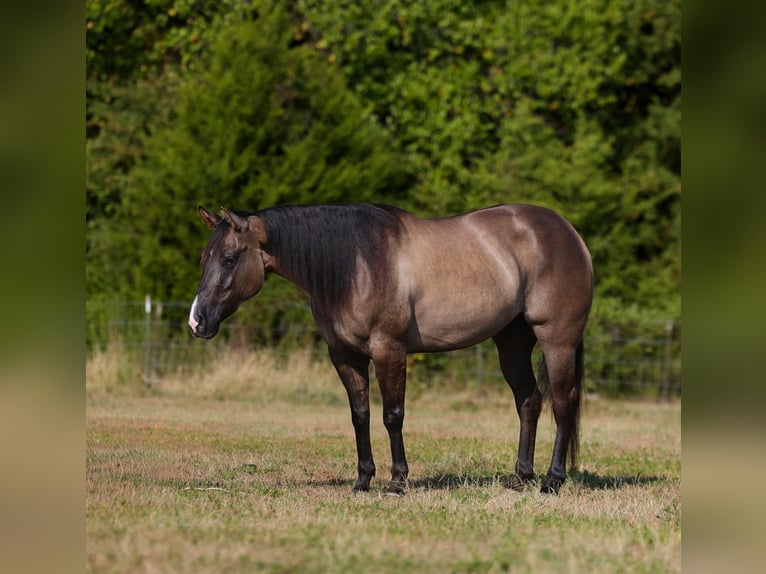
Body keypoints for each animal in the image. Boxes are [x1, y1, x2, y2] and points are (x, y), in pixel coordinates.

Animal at [188, 203, 593, 495]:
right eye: (203, 258)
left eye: (229, 258)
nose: (197, 322)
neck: (359, 266)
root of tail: (570, 233)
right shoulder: (345, 357)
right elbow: (360, 416)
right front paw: (363, 480)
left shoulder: (389, 350)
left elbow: (392, 415)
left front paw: (397, 481)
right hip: (512, 342)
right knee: (529, 401)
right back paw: (521, 476)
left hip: (557, 340)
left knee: (563, 403)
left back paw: (552, 481)